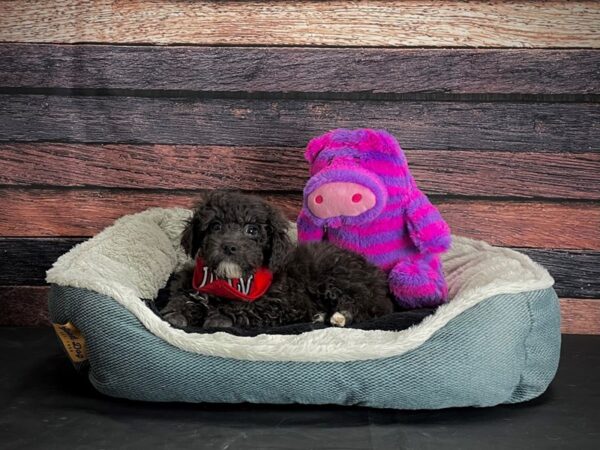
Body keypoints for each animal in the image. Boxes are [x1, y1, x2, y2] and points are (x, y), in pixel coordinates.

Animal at [161, 190, 394, 326]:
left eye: (252, 230)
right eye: (215, 226)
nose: (229, 246)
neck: (228, 281)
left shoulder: (281, 303)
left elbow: (244, 307)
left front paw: (218, 318)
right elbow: (181, 296)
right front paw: (177, 315)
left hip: (337, 276)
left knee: (366, 305)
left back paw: (339, 316)